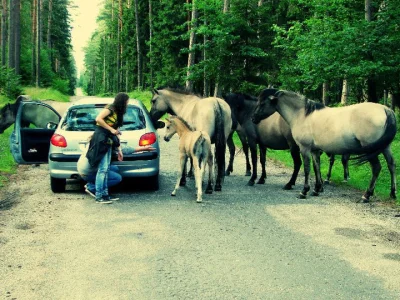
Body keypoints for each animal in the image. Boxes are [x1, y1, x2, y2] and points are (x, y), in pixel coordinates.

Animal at [253, 89, 396, 202]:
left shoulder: (304, 148)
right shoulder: (315, 150)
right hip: (385, 147)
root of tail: (386, 109)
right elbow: (316, 167)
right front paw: (316, 189)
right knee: (391, 165)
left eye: (262, 103)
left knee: (376, 168)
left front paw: (304, 191)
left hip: (371, 149)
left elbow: (307, 168)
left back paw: (366, 195)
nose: (253, 118)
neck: (302, 115)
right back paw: (393, 193)